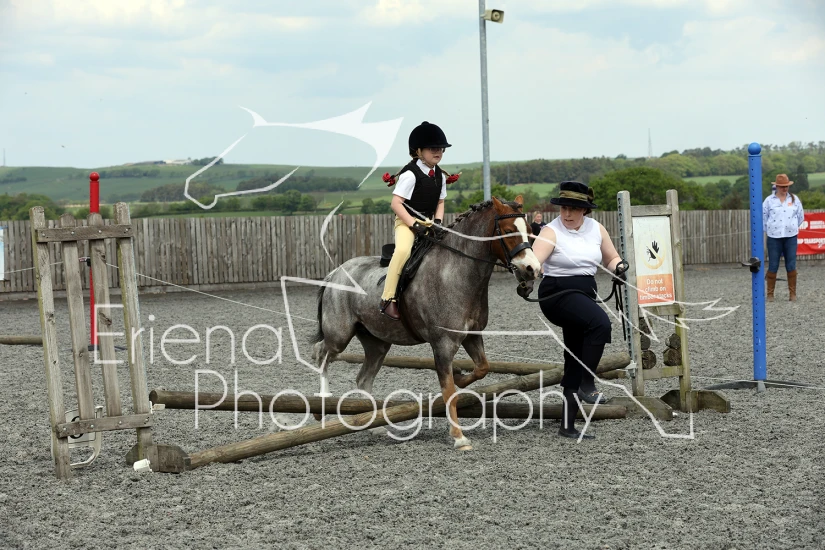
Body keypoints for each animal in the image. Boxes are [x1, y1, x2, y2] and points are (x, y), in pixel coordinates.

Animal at [312, 196, 541, 450]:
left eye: (530, 231)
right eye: (509, 231)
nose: (532, 270)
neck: (456, 271)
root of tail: (335, 272)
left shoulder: (472, 336)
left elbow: (482, 368)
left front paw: (460, 375)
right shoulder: (443, 343)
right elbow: (449, 390)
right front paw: (459, 437)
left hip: (377, 342)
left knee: (363, 379)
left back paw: (376, 426)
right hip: (339, 334)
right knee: (321, 354)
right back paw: (321, 406)